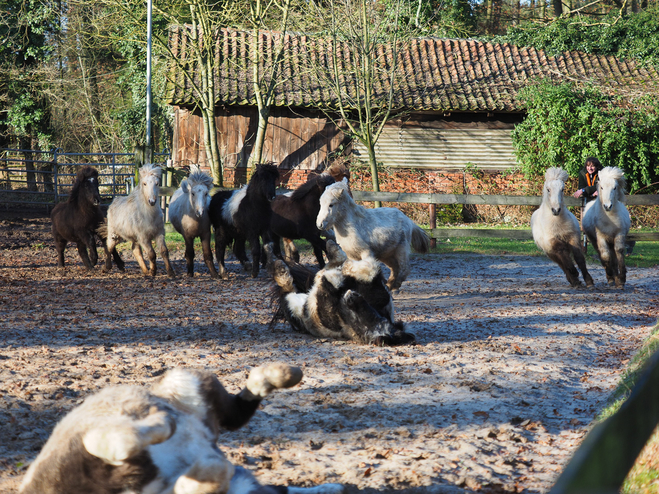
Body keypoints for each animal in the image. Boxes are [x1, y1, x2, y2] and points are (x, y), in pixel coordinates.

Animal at [266, 241, 416, 346]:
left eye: (365, 316)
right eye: (368, 313)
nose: (351, 296)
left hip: (292, 302)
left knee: (286, 286)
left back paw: (277, 262)